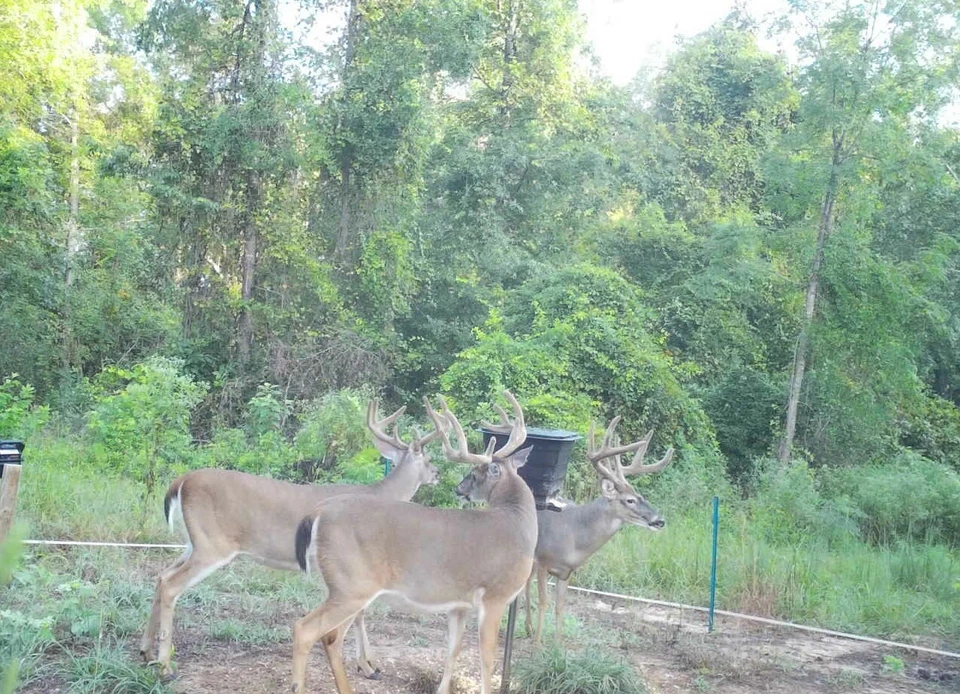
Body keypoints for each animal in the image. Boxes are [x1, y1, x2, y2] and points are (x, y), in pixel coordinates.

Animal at [140, 399, 441, 678]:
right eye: (428, 459)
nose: (437, 474)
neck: (383, 496)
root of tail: (181, 482)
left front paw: (369, 664)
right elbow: (360, 614)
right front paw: (368, 666)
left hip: (194, 542)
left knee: (161, 576)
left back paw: (146, 652)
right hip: (213, 545)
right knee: (171, 585)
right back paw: (165, 665)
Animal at [290, 391, 536, 694]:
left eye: (474, 475)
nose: (459, 489)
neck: (518, 522)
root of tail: (318, 512)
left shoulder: (459, 605)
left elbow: (452, 652)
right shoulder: (495, 596)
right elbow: (487, 660)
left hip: (346, 587)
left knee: (330, 638)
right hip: (352, 585)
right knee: (306, 630)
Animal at [523, 417, 674, 643]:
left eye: (641, 496)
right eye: (629, 500)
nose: (659, 521)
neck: (575, 536)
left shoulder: (566, 572)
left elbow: (560, 606)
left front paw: (557, 645)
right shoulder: (543, 560)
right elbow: (544, 602)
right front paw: (538, 644)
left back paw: (528, 627)